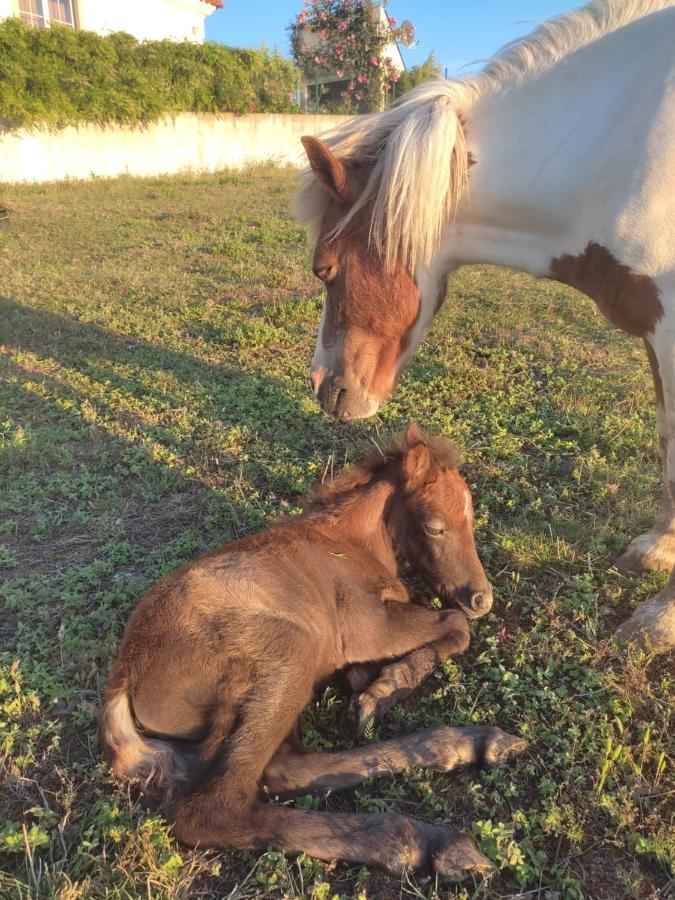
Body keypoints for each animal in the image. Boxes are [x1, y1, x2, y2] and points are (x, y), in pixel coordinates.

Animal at [100, 424, 524, 880]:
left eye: (471, 518)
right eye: (434, 528)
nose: (481, 598)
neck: (349, 542)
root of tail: (126, 677)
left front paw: (374, 693)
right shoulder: (369, 628)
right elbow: (455, 626)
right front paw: (386, 689)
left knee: (284, 767)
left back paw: (468, 744)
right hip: (290, 652)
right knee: (216, 806)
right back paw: (427, 842)